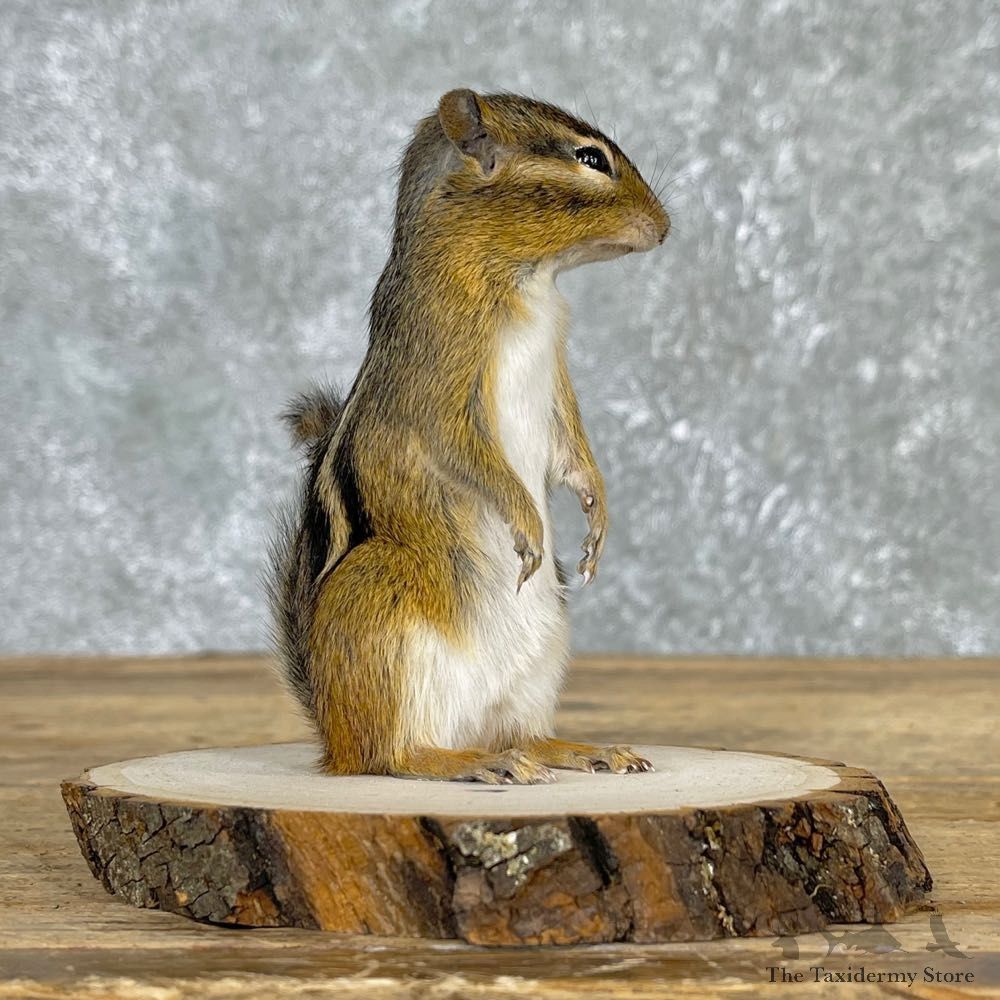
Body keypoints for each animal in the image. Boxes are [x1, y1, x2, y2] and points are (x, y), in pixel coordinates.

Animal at [268, 89, 669, 784]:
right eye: (591, 159)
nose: (666, 226)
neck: (529, 279)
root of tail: (329, 733)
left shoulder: (556, 376)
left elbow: (571, 448)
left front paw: (596, 514)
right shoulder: (439, 385)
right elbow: (461, 451)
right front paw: (526, 520)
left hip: (542, 659)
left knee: (521, 733)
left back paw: (575, 750)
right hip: (381, 624)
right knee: (389, 757)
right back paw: (469, 765)